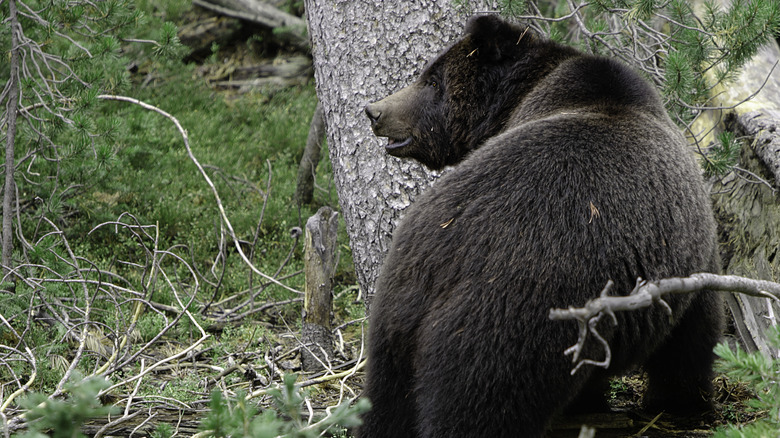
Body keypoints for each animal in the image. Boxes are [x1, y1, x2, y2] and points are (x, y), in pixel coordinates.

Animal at [360, 14, 724, 438]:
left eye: (433, 80)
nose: (374, 111)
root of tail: (444, 261)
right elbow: (693, 335)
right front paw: (681, 402)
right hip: (515, 320)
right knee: (480, 405)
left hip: (398, 307)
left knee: (387, 401)